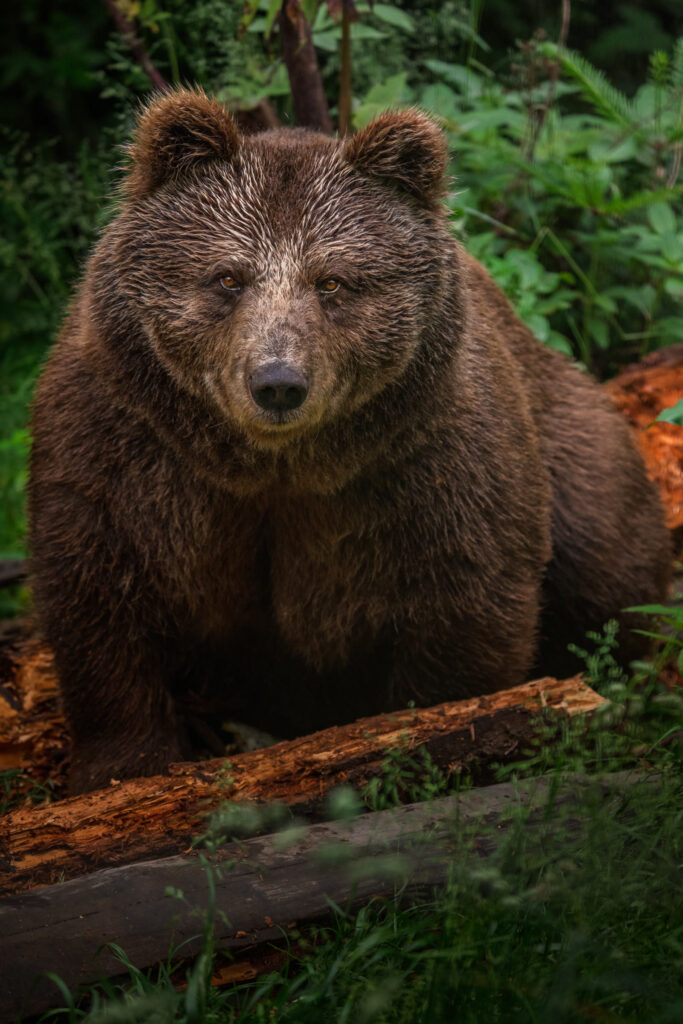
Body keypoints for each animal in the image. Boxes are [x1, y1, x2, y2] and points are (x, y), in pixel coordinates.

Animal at [28, 88, 671, 795]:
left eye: (331, 281)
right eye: (228, 277)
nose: (278, 383)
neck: (273, 464)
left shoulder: (424, 461)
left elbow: (468, 595)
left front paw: (443, 737)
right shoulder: (131, 445)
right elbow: (101, 595)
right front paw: (125, 766)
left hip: (575, 448)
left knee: (606, 565)